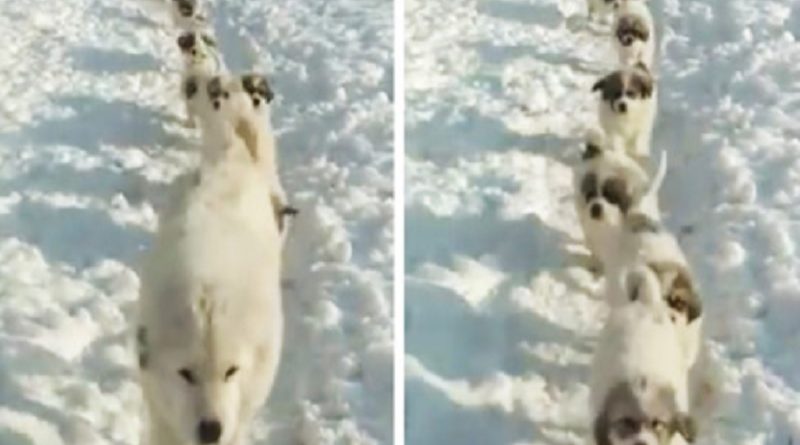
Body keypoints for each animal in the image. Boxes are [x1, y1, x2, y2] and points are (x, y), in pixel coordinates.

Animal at [138, 84, 284, 444]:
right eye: (186, 374)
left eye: (231, 371)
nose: (210, 429)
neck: (208, 296)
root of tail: (229, 161)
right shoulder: (160, 411)